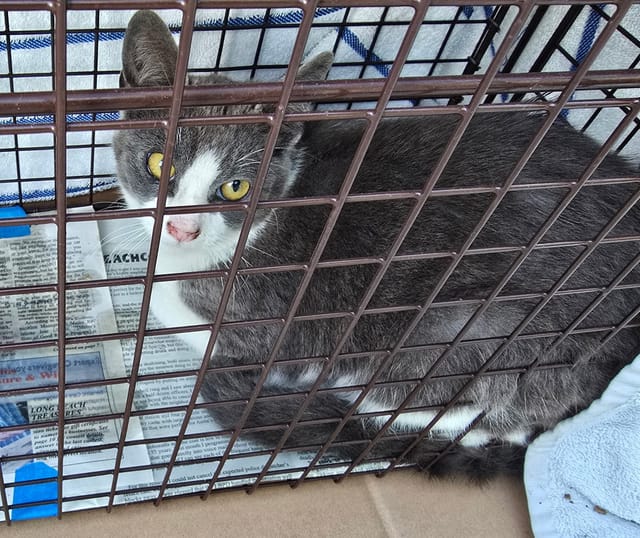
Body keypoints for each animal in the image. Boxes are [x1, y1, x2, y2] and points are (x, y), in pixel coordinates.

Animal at [115, 9, 640, 478]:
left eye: (236, 188)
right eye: (159, 163)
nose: (183, 229)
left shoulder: (262, 324)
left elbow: (173, 311)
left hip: (471, 329)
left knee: (443, 410)